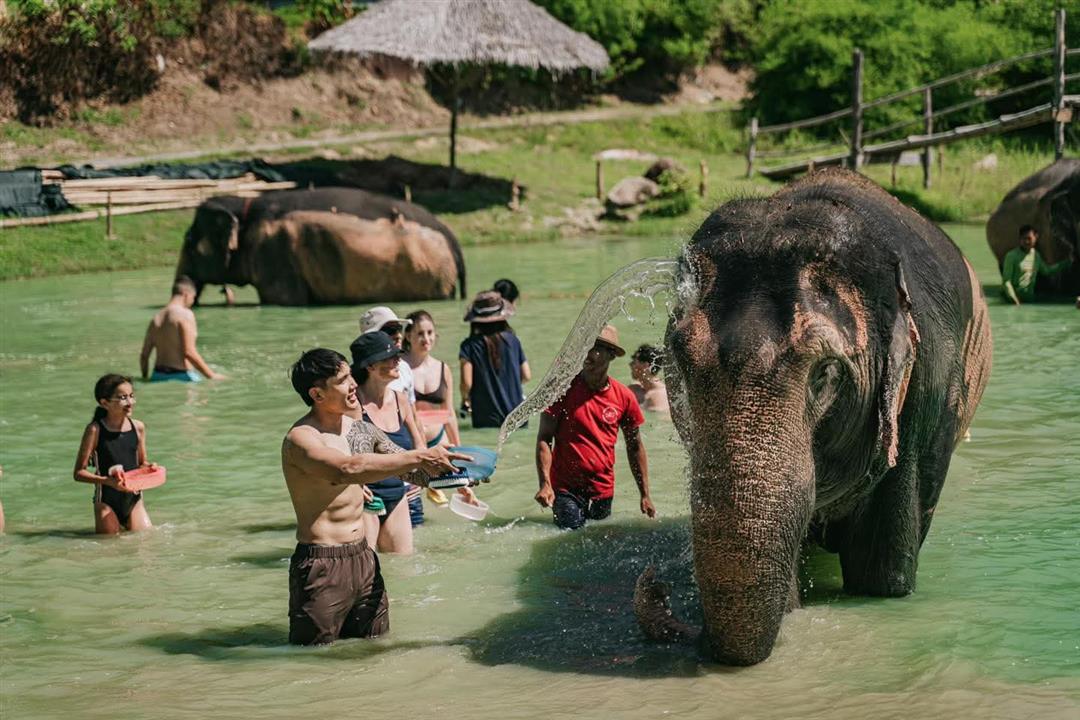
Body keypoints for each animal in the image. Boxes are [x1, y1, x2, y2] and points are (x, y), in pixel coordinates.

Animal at [177, 187, 466, 304]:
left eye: (189, 242)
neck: (244, 205)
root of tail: (453, 241)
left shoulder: (274, 255)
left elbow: (283, 299)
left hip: (430, 274)